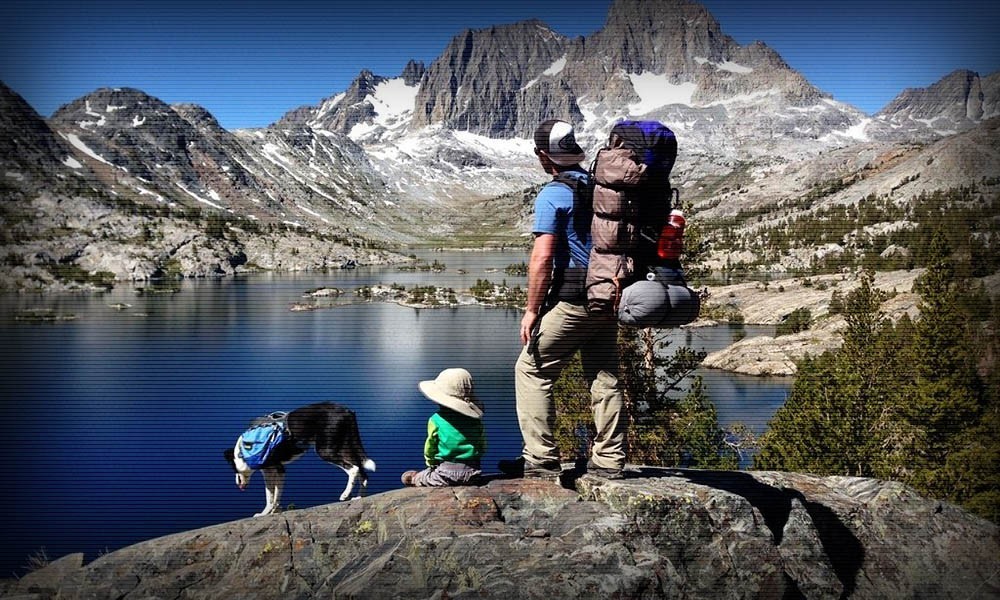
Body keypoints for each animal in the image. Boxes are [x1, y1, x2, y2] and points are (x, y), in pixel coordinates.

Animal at [223, 400, 376, 516]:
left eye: (233, 468)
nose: (237, 484)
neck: (247, 448)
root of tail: (346, 410)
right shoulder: (270, 471)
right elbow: (271, 496)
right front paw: (268, 512)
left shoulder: (278, 470)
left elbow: (274, 495)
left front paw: (270, 512)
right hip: (345, 447)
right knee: (362, 470)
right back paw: (359, 497)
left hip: (325, 450)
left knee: (353, 469)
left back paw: (345, 494)